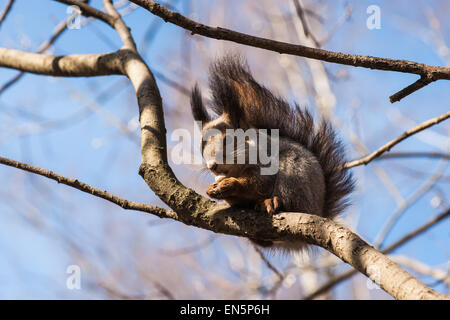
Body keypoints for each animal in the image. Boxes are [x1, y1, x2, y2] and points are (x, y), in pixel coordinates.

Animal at [188, 55, 354, 250]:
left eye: (228, 139)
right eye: (200, 147)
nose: (212, 166)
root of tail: (318, 209)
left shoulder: (266, 166)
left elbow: (258, 183)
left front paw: (231, 184)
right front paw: (213, 189)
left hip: (294, 176)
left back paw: (272, 202)